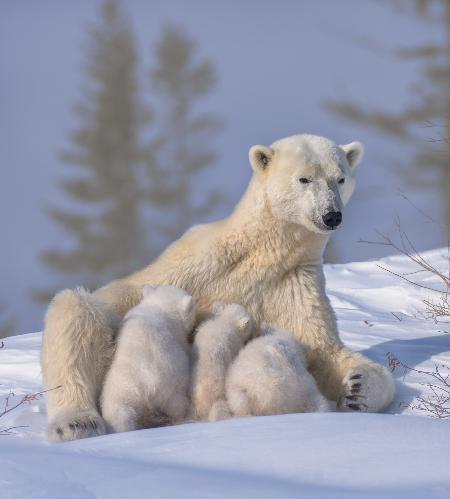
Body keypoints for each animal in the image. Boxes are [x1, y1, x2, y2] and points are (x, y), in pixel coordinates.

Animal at [101, 286, 194, 434]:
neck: (159, 308)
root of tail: (148, 384)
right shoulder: (179, 336)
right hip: (172, 385)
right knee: (178, 405)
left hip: (119, 390)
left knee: (118, 415)